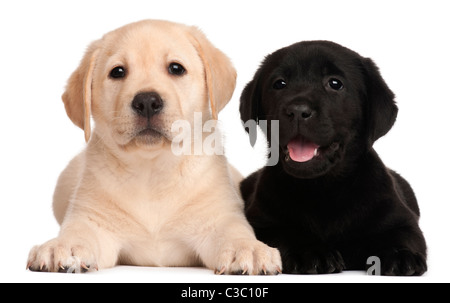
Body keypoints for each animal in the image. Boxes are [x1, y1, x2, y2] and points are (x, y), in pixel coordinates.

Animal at [25, 19, 282, 276]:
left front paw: (248, 248)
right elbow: (78, 231)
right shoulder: (92, 219)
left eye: (176, 68)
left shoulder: (219, 216)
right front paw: (62, 246)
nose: (147, 101)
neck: (152, 171)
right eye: (117, 72)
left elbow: (235, 231)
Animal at [239, 40, 426, 276]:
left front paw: (400, 255)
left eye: (335, 83)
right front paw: (309, 251)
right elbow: (283, 233)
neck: (323, 188)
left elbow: (402, 235)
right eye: (279, 83)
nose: (297, 111)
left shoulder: (403, 220)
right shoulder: (262, 221)